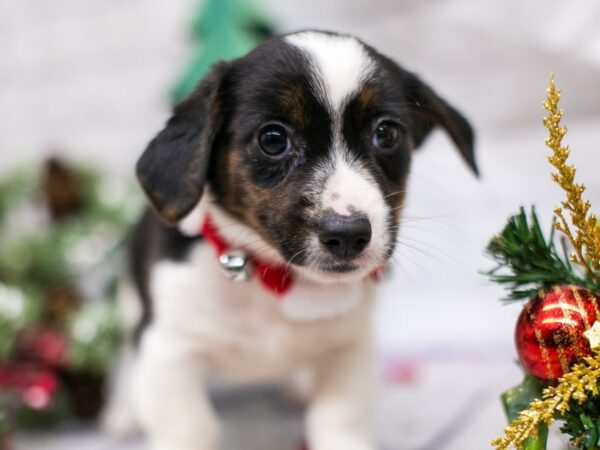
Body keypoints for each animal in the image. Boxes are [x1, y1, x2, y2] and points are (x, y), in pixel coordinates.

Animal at [105, 29, 476, 448]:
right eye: (272, 139)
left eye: (386, 133)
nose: (348, 235)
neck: (274, 279)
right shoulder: (169, 352)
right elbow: (191, 428)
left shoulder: (349, 347)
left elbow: (339, 419)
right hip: (130, 304)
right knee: (126, 356)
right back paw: (124, 409)